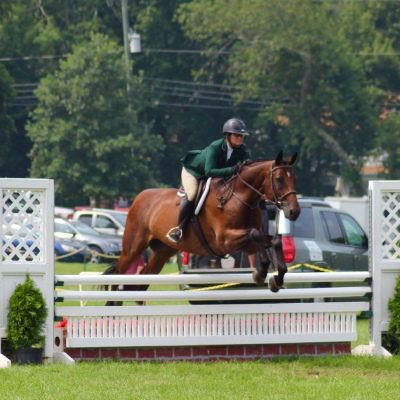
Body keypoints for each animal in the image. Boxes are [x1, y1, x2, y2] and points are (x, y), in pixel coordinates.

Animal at [111, 150, 298, 294]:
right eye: (279, 179)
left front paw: (277, 278)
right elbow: (255, 233)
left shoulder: (247, 245)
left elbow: (274, 240)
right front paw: (260, 273)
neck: (239, 198)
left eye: (294, 179)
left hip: (162, 252)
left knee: (141, 280)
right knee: (117, 274)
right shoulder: (225, 240)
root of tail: (139, 197)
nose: (294, 211)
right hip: (133, 248)